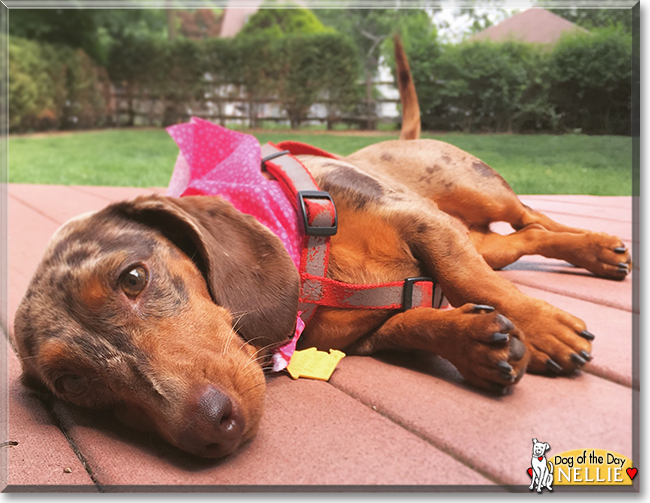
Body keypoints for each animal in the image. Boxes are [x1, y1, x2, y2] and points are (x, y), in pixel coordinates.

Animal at [11, 37, 628, 458]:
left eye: (133, 278)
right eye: (73, 383)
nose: (213, 428)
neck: (309, 260)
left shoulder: (425, 225)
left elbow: (475, 283)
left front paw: (544, 329)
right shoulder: (369, 328)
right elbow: (415, 322)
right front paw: (474, 341)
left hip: (471, 190)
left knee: (531, 219)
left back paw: (600, 248)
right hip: (479, 233)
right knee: (524, 238)